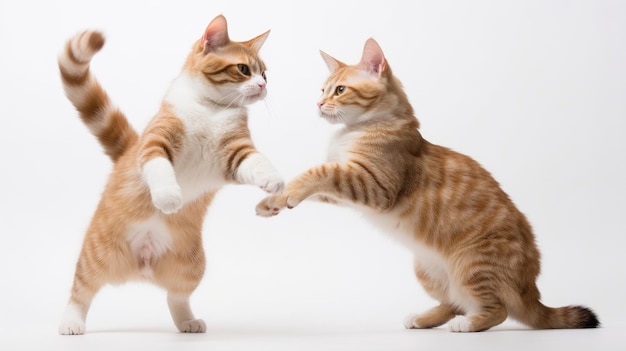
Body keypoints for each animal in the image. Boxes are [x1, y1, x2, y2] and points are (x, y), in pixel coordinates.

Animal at [58, 15, 282, 336]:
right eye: (243, 69)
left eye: (265, 73)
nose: (263, 85)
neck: (211, 110)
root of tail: (142, 265)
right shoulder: (156, 141)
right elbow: (160, 168)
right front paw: (168, 196)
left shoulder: (235, 153)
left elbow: (258, 162)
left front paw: (273, 181)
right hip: (96, 254)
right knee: (82, 290)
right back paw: (71, 322)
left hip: (192, 266)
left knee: (176, 296)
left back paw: (188, 321)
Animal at [256, 38, 596, 332]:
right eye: (323, 89)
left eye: (339, 90)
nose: (318, 102)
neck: (353, 131)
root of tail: (530, 287)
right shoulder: (347, 190)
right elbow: (312, 181)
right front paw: (273, 198)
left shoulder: (373, 185)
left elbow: (318, 172)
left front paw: (288, 192)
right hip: (427, 270)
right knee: (456, 302)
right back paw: (425, 318)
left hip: (471, 265)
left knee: (496, 310)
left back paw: (470, 324)